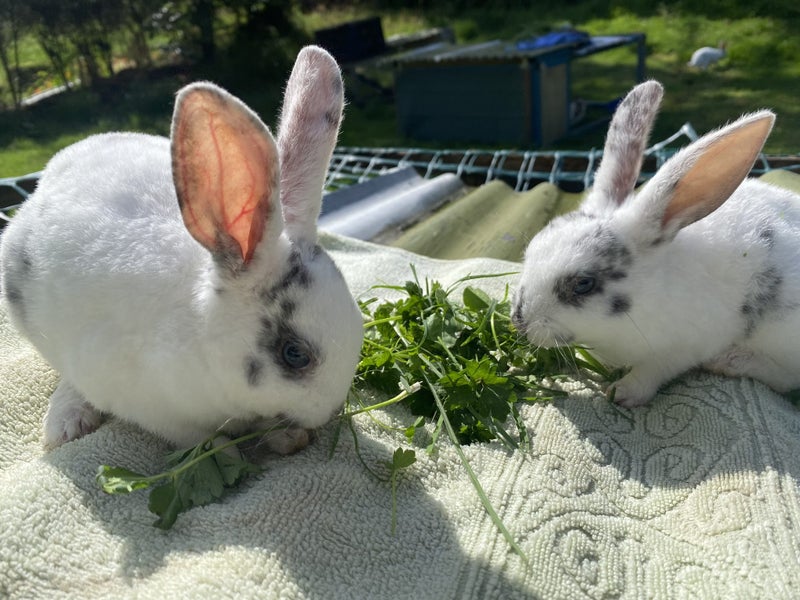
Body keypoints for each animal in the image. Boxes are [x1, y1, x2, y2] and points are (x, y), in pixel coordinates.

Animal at [0, 46, 364, 454]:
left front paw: (286, 436)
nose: (330, 411)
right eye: (294, 354)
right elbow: (207, 442)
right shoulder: (159, 413)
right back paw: (65, 423)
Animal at [512, 79, 800, 408]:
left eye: (583, 284)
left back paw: (732, 361)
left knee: (786, 378)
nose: (520, 320)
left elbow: (650, 373)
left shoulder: (679, 349)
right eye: (532, 247)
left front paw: (621, 392)